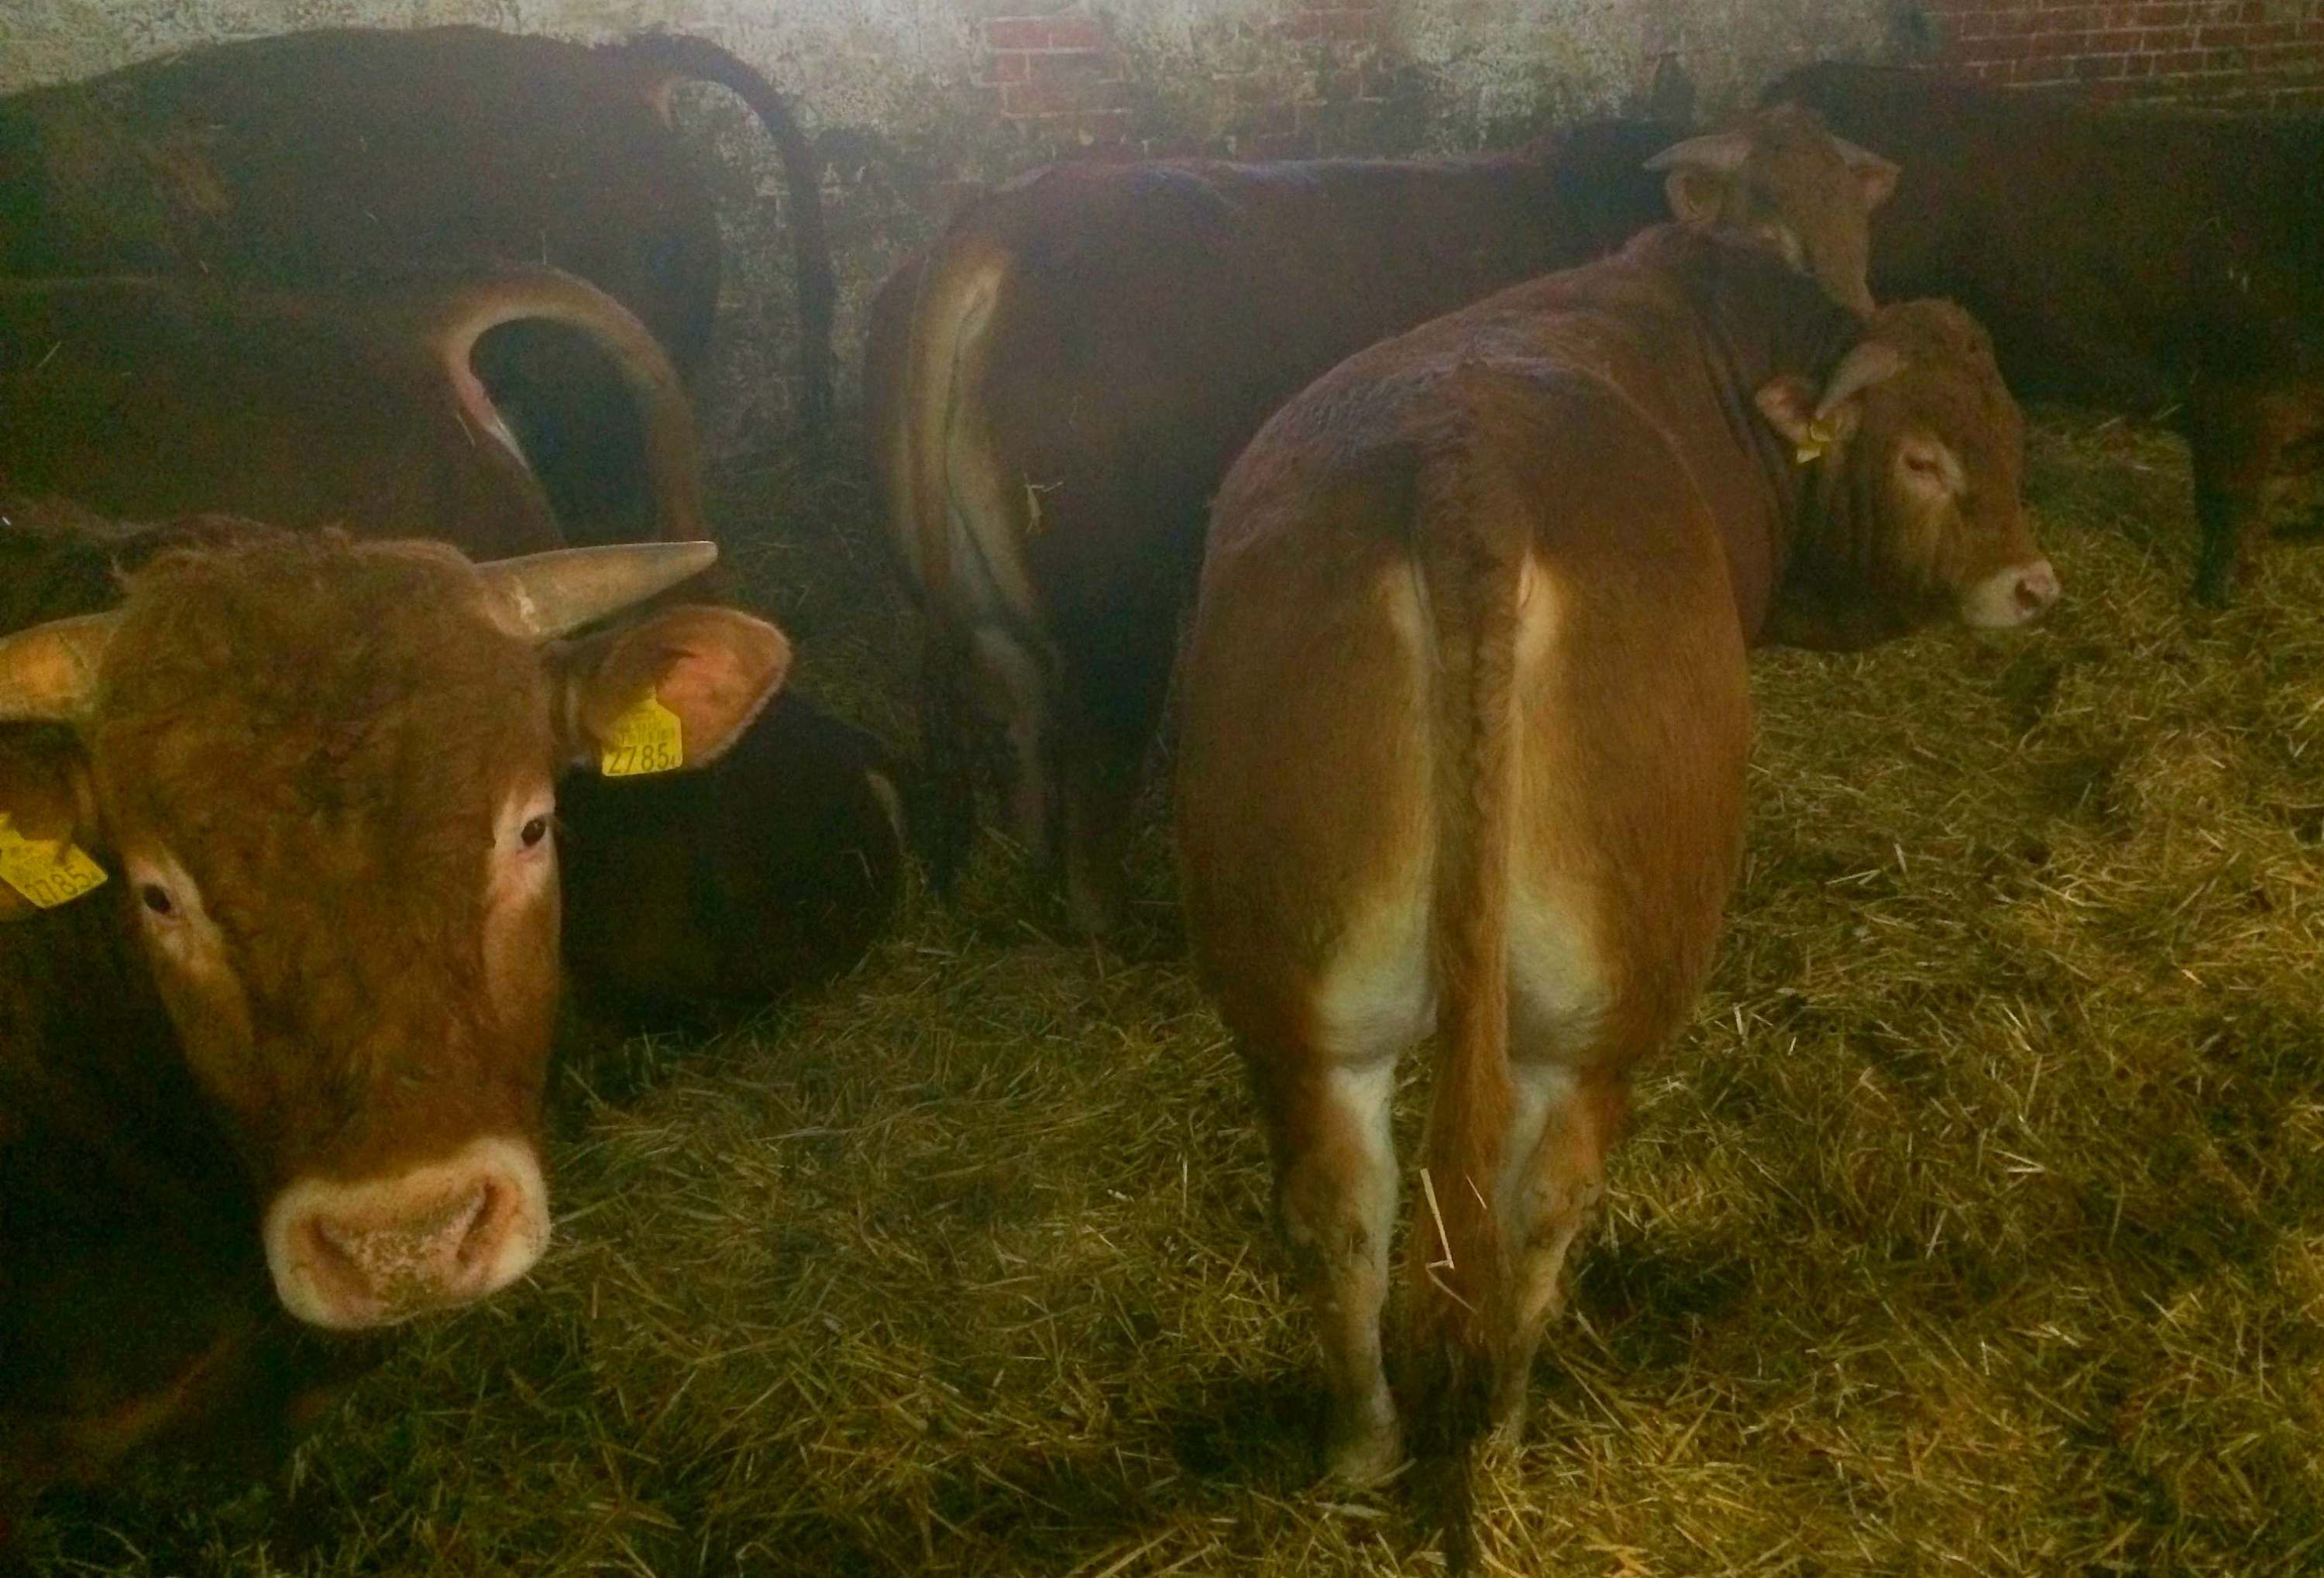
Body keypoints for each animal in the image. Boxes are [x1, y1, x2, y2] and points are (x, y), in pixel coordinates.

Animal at [865, 101, 1896, 939]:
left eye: (1857, 222)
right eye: (1769, 224)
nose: (1857, 329)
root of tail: (999, 227)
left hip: (995, 613)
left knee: (1024, 735)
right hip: (1119, 614)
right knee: (1094, 770)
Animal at [1171, 225, 2064, 1571]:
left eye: (2010, 437)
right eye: (1922, 456)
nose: (2035, 585)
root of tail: (1468, 473)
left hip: (1300, 988)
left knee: (1342, 1210)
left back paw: (1362, 1449)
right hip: (1600, 1006)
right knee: (1541, 1203)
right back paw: (1502, 1434)